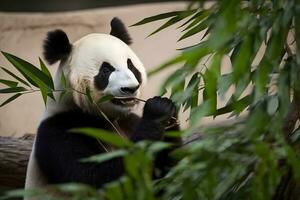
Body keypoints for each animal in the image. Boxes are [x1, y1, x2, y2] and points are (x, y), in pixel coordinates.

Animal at [24, 17, 179, 194]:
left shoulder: (128, 121)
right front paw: (157, 110)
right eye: (106, 70)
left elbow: (166, 176)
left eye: (131, 66)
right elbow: (95, 177)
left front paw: (170, 112)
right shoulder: (59, 131)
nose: (130, 88)